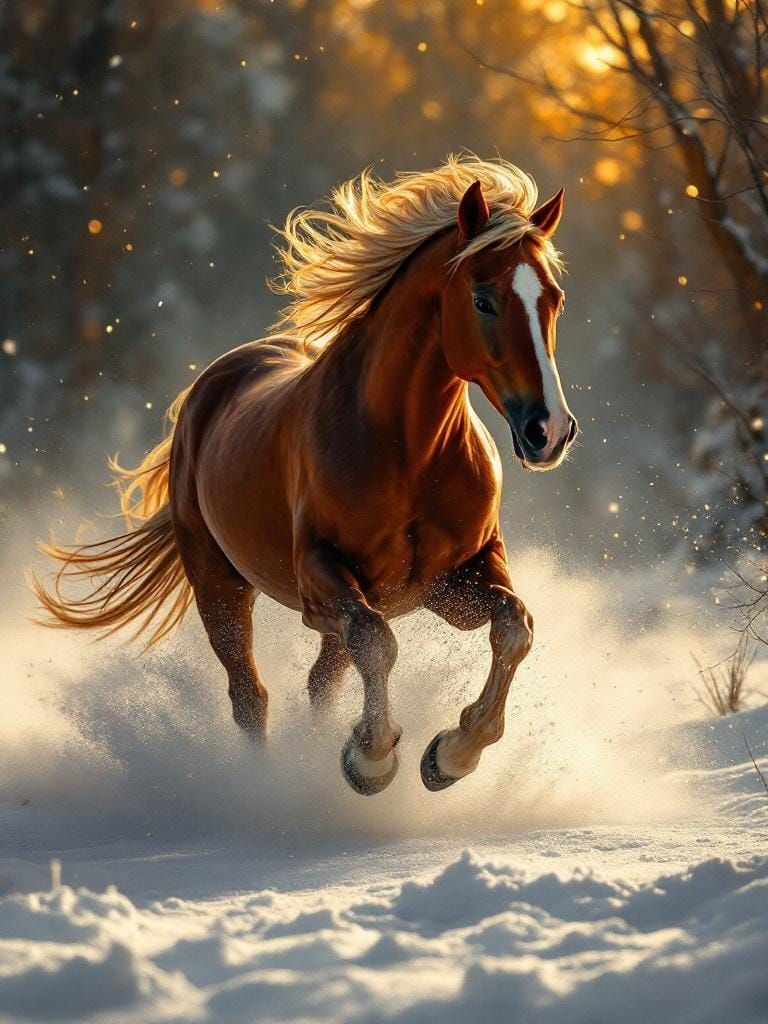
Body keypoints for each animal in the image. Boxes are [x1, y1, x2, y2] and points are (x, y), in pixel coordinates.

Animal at [33, 155, 578, 796]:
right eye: (484, 299)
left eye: (554, 299)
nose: (549, 430)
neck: (409, 456)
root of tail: (214, 383)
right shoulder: (324, 579)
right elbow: (376, 641)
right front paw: (372, 761)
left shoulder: (454, 580)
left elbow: (514, 626)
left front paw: (449, 755)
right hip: (219, 586)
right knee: (251, 694)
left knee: (321, 681)